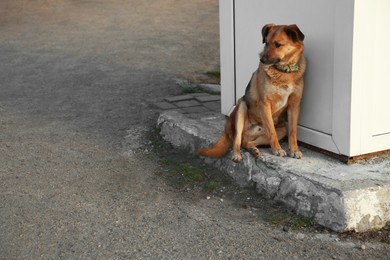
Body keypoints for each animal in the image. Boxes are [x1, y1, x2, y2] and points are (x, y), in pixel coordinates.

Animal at [200, 24, 306, 162]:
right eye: (266, 43)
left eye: (278, 44)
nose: (262, 59)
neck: (284, 71)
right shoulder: (264, 104)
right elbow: (272, 131)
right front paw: (277, 149)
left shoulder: (294, 105)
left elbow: (293, 132)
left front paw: (294, 150)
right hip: (241, 108)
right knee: (238, 140)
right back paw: (236, 154)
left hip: (281, 130)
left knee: (247, 142)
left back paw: (253, 150)